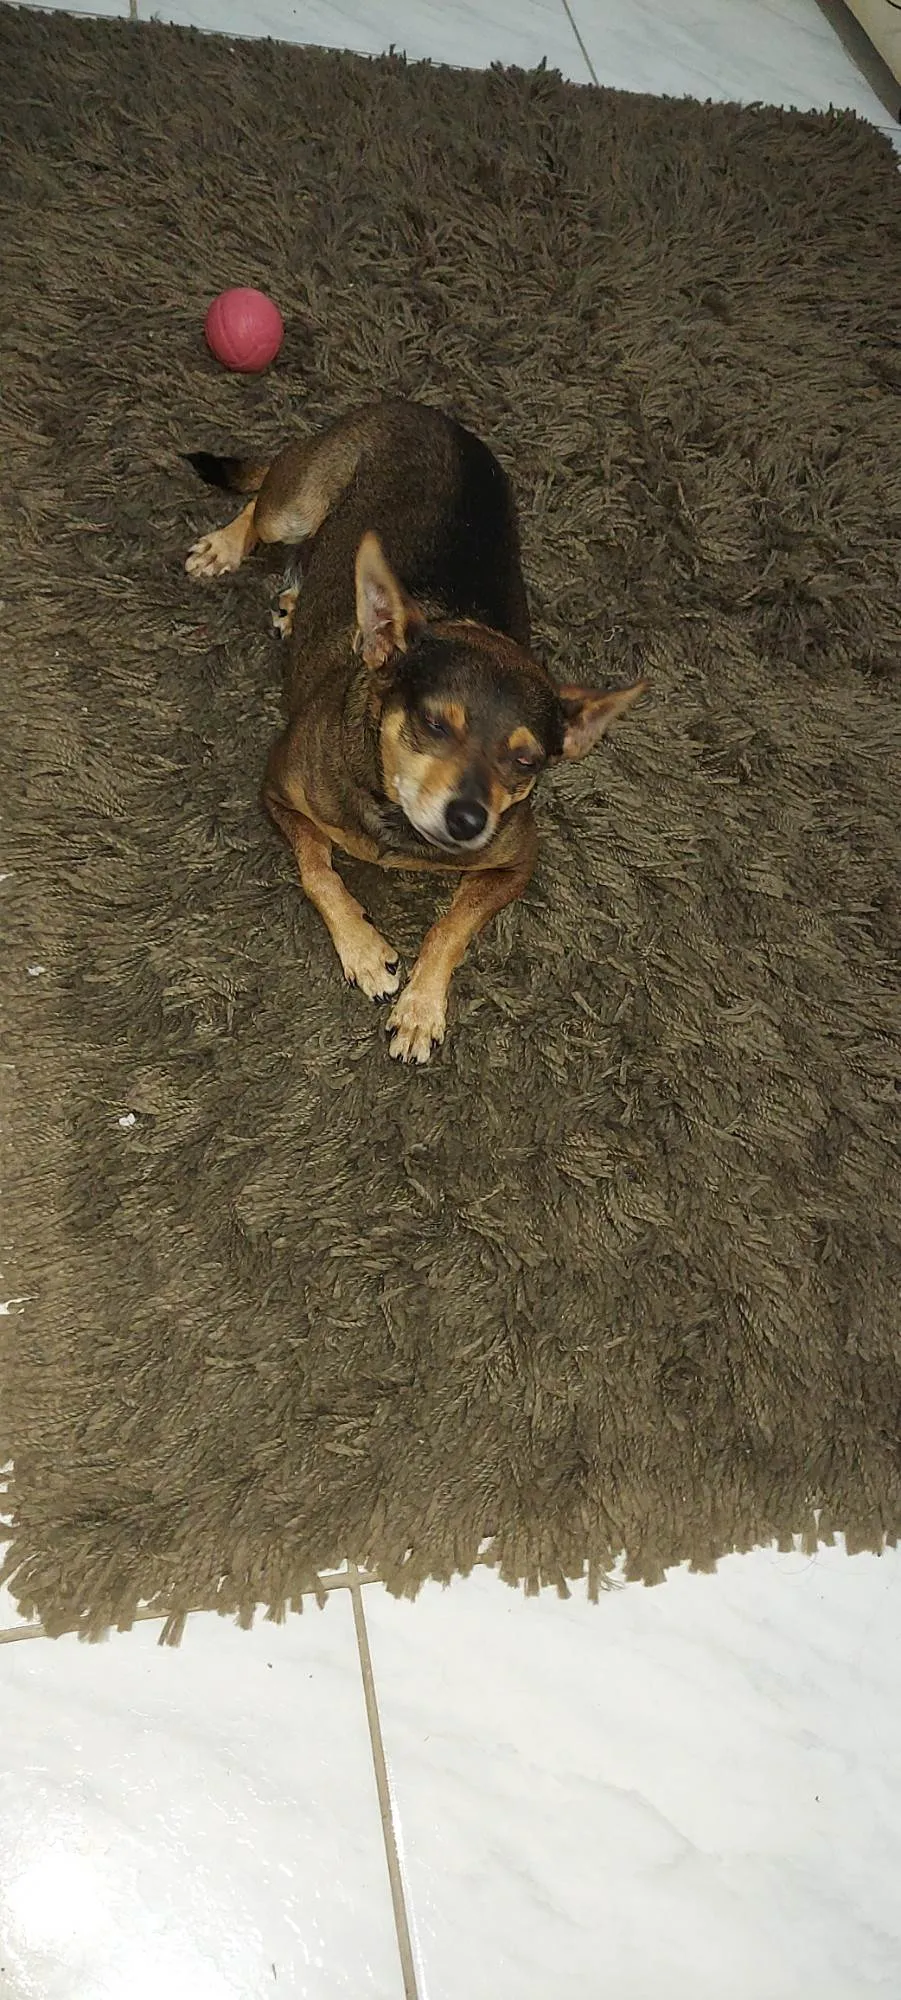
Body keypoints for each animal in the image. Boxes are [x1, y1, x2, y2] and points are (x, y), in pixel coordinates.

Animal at [184, 400, 645, 1063]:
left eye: (527, 761)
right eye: (433, 722)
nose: (468, 819)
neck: (397, 825)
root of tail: (418, 408)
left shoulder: (515, 865)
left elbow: (452, 925)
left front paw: (422, 1008)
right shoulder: (276, 795)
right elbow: (316, 868)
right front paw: (363, 952)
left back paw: (294, 603)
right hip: (294, 506)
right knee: (262, 508)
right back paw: (223, 547)